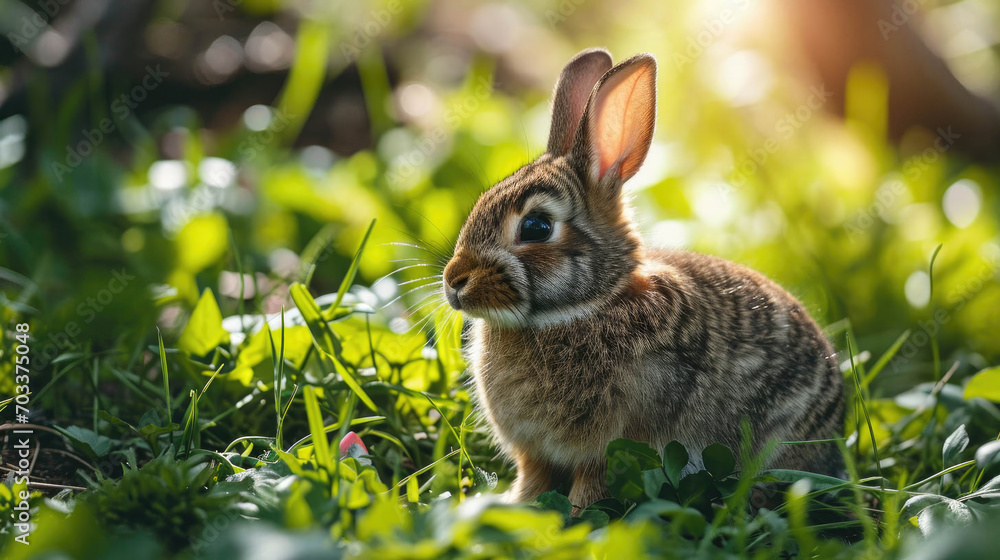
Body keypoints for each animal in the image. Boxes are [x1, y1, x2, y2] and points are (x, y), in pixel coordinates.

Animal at [441, 48, 844, 513]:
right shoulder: (536, 454)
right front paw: (514, 505)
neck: (585, 307)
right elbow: (534, 480)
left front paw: (575, 517)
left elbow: (590, 488)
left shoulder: (611, 448)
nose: (454, 280)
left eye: (537, 227)